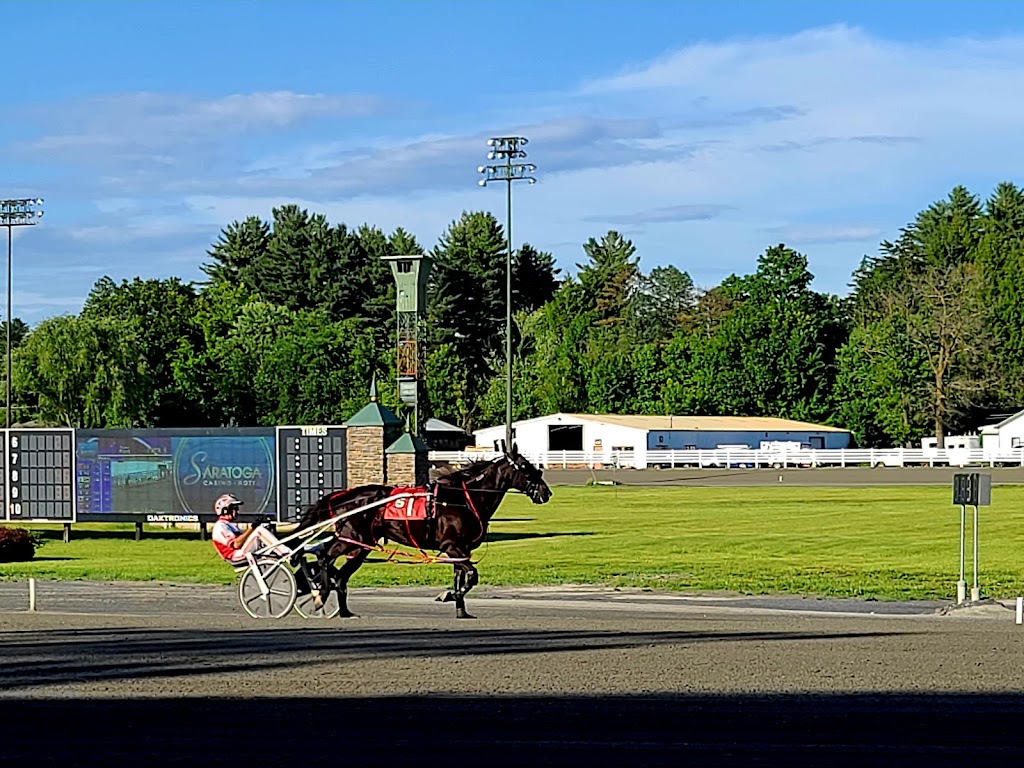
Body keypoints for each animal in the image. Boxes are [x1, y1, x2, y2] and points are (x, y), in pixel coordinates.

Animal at [292, 444, 552, 618]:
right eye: (526, 467)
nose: (546, 492)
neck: (463, 498)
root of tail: (340, 497)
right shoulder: (452, 546)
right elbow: (472, 575)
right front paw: (450, 595)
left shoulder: (460, 549)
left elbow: (461, 577)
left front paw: (460, 607)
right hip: (351, 538)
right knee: (324, 556)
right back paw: (320, 593)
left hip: (361, 546)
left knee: (340, 574)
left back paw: (344, 610)